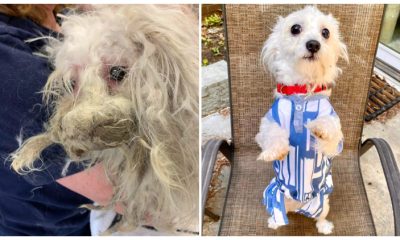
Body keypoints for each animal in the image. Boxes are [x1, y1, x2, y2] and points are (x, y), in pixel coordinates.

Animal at [256, 5, 346, 234]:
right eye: (295, 28)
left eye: (326, 33)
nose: (313, 44)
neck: (301, 93)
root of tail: (298, 207)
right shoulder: (267, 125)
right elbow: (272, 135)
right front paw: (275, 152)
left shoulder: (335, 143)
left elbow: (331, 129)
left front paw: (318, 128)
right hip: (271, 196)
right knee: (278, 212)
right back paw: (274, 221)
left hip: (323, 202)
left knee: (320, 217)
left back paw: (325, 227)